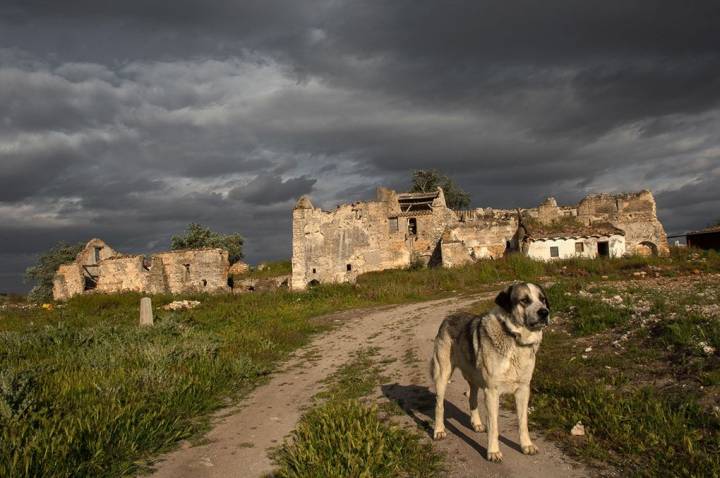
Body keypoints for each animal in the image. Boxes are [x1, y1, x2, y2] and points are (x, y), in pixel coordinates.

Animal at [428, 282, 552, 462]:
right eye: (524, 300)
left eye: (542, 299)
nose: (544, 312)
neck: (514, 339)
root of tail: (448, 318)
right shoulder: (492, 392)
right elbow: (494, 426)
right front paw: (493, 452)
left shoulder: (523, 390)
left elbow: (523, 422)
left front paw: (526, 445)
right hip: (442, 376)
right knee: (439, 405)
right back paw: (439, 430)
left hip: (473, 378)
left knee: (472, 398)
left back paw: (477, 423)